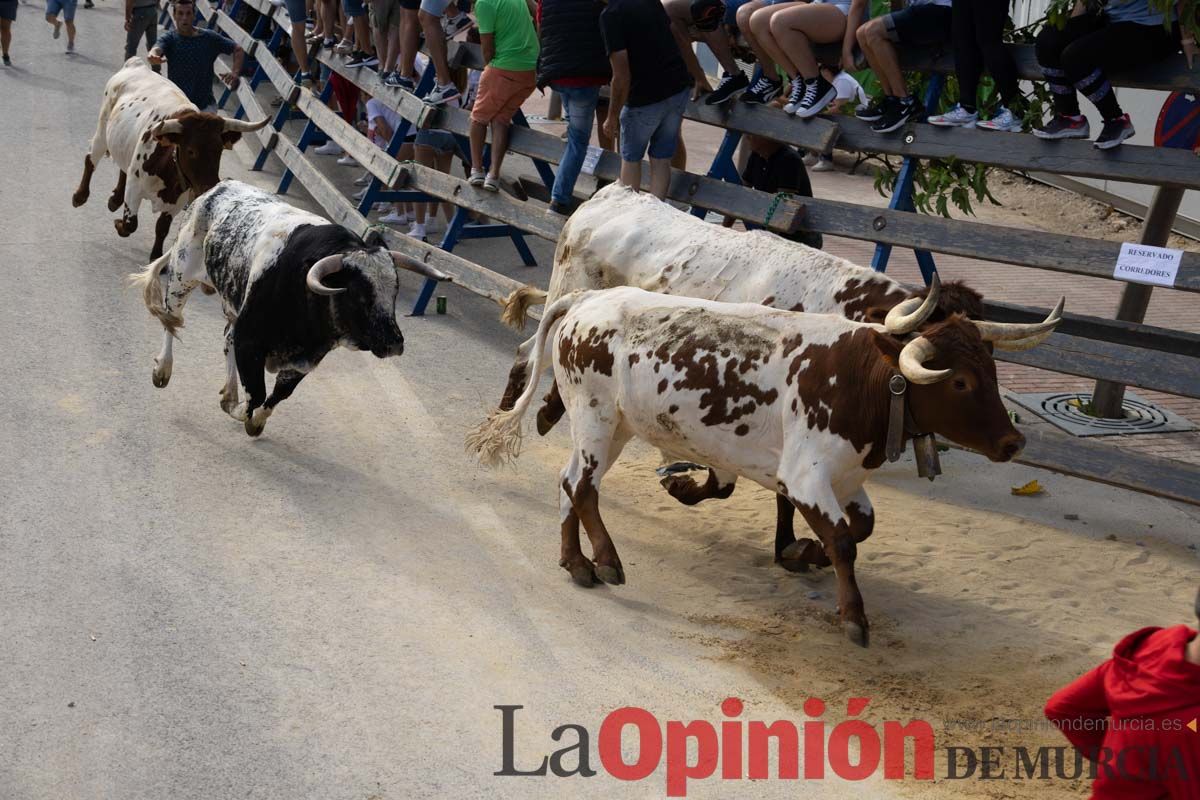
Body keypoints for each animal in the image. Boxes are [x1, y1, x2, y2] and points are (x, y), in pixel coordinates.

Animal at [72, 59, 267, 260]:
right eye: (191, 151)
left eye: (219, 150)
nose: (210, 186)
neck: (168, 172)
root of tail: (136, 64)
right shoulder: (135, 187)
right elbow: (130, 224)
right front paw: (119, 224)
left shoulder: (177, 201)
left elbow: (162, 228)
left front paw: (155, 256)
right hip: (103, 131)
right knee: (91, 159)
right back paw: (80, 196)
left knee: (123, 168)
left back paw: (114, 199)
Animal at [130, 179, 451, 438]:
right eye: (359, 295)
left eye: (394, 292)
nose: (394, 343)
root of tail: (215, 189)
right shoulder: (250, 340)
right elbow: (257, 393)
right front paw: (239, 411)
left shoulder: (305, 359)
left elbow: (277, 396)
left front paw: (254, 420)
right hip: (181, 276)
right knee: (171, 321)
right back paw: (163, 370)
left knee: (224, 338)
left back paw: (228, 393)